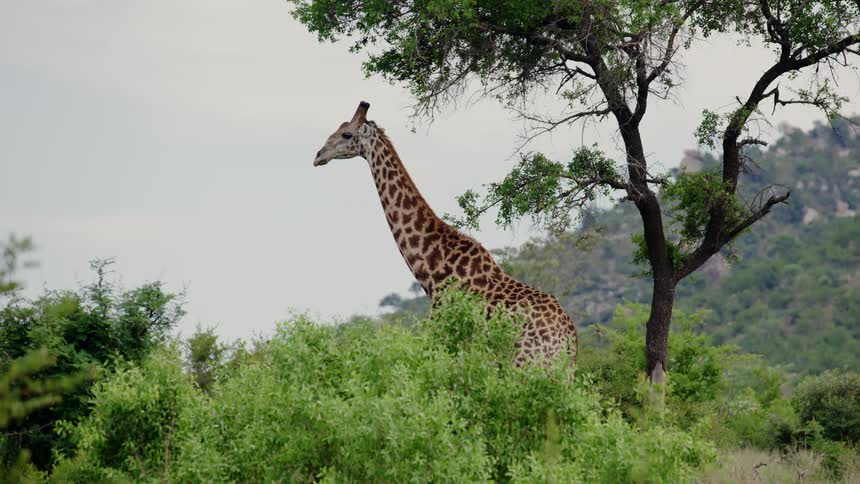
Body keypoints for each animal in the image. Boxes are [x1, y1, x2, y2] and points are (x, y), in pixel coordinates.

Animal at [312, 101, 577, 365]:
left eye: (347, 134)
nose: (318, 156)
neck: (431, 269)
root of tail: (569, 340)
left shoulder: (441, 341)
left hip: (528, 362)